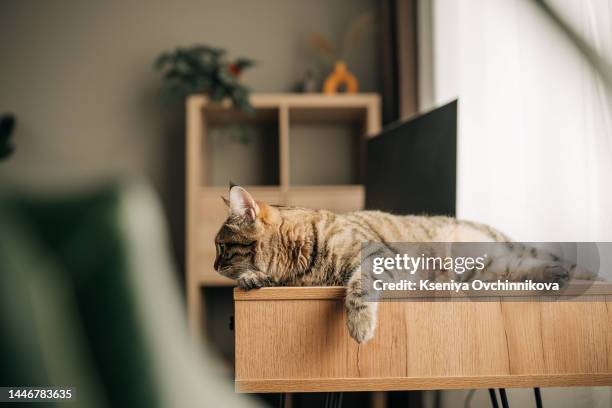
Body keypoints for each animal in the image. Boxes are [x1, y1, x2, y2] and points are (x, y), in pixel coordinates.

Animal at [214, 186, 592, 342]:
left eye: (221, 247)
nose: (215, 266)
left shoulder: (378, 258)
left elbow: (358, 288)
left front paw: (360, 325)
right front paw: (251, 279)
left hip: (493, 252)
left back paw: (576, 271)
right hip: (482, 270)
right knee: (517, 268)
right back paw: (557, 274)